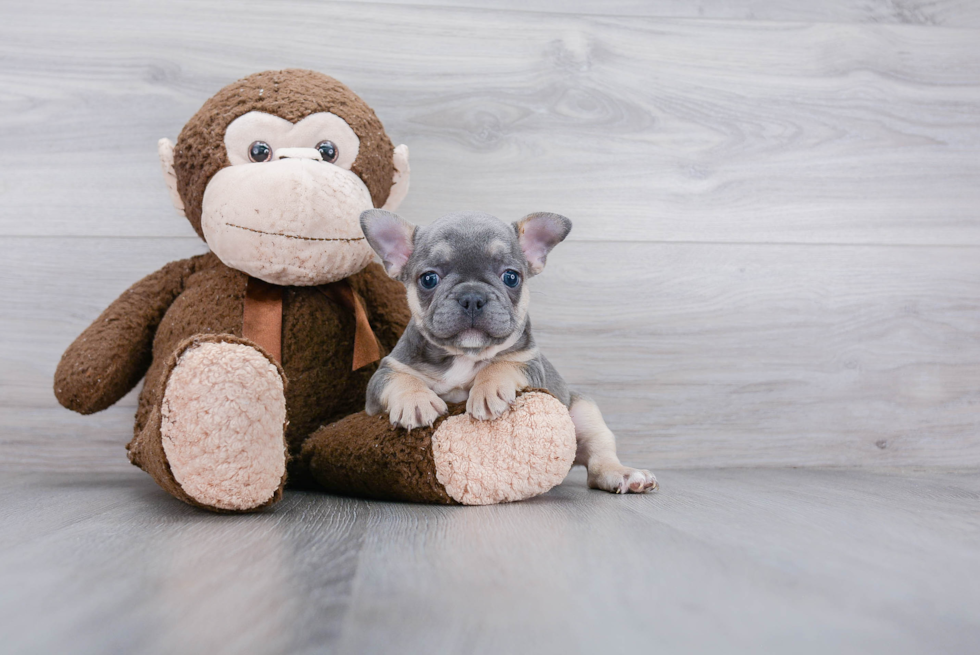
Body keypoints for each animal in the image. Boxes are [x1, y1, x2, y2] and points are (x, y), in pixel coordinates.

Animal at [360, 213, 660, 494]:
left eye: (511, 277)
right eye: (429, 279)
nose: (472, 296)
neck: (466, 354)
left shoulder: (529, 362)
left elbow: (501, 365)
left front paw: (487, 390)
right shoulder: (384, 375)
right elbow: (401, 379)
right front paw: (415, 401)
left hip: (586, 411)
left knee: (598, 460)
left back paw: (625, 474)